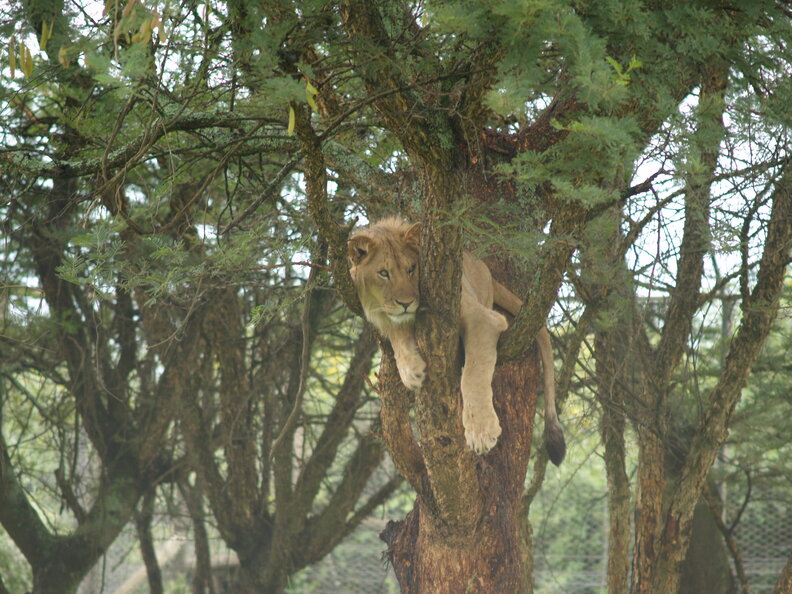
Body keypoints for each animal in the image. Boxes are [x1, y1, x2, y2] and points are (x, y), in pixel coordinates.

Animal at [348, 217, 565, 464]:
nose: (406, 303)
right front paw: (411, 372)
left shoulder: (483, 319)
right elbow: (398, 335)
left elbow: (473, 374)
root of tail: (484, 269)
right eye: (383, 273)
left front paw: (481, 431)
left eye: (411, 269)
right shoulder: (389, 319)